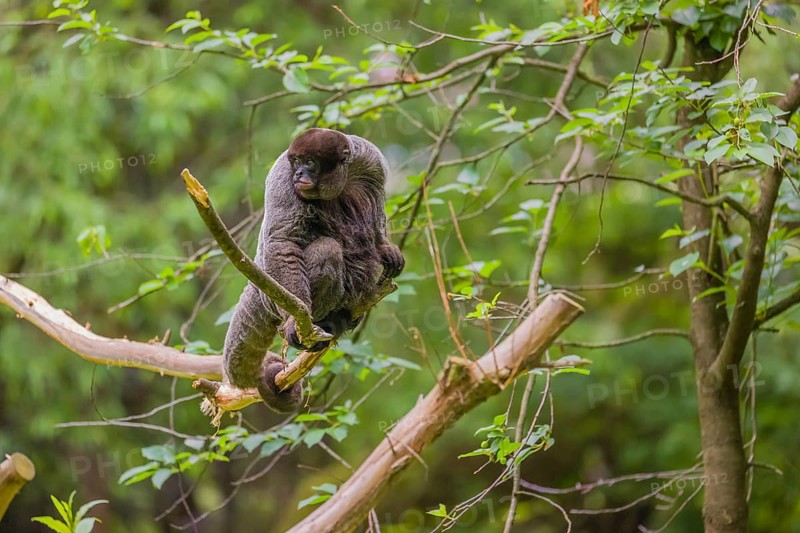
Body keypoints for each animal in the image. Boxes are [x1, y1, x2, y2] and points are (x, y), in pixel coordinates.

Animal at [222, 128, 404, 413]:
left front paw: (386, 248)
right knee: (328, 250)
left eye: (310, 162)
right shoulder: (282, 178)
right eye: (296, 162)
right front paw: (292, 323)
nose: (299, 173)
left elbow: (376, 211)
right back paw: (320, 322)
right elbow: (283, 242)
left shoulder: (371, 160)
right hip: (273, 294)